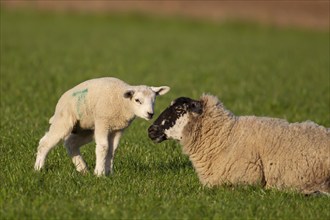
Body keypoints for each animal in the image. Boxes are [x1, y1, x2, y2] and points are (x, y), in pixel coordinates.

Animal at [33, 76, 170, 176]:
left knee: (70, 143)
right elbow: (103, 147)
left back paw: (83, 169)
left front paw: (109, 173)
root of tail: (62, 98)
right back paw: (38, 168)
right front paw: (99, 173)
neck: (123, 103)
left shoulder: (118, 129)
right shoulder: (102, 123)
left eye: (154, 100)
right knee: (45, 142)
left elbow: (112, 149)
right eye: (137, 100)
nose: (150, 114)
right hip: (64, 120)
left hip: (86, 129)